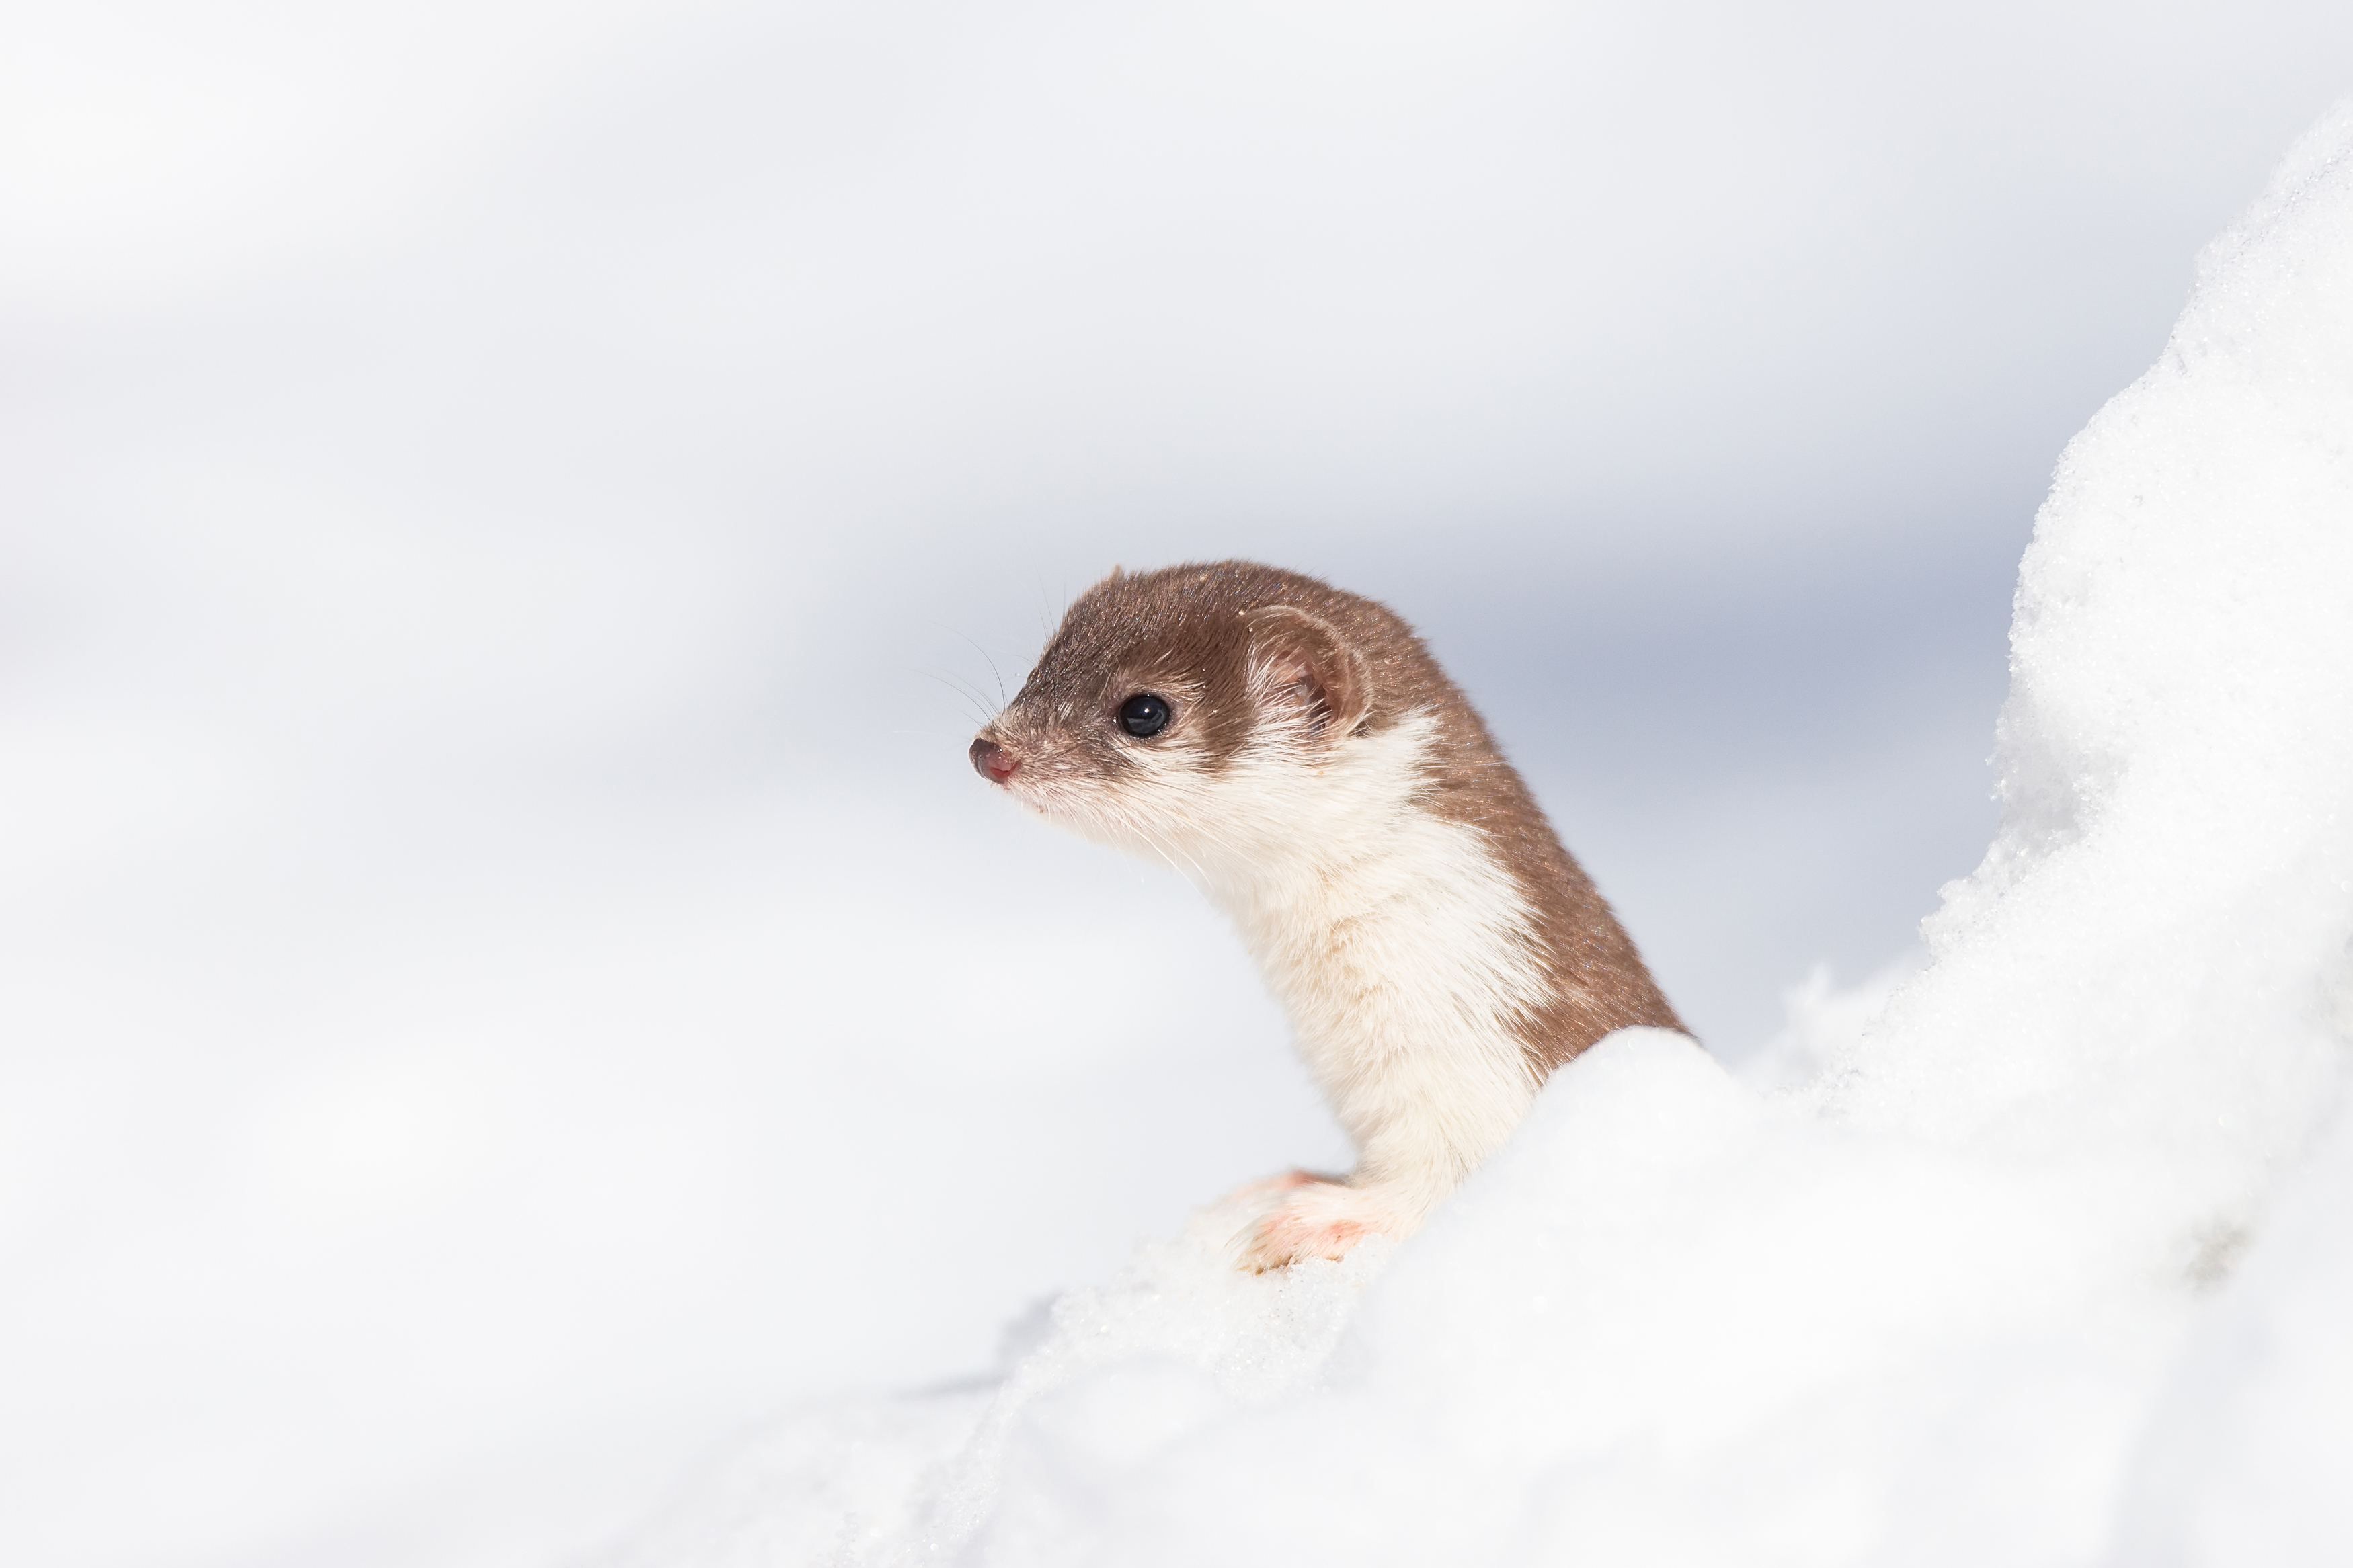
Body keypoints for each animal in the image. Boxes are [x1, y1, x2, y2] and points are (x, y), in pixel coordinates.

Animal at [965, 556, 1685, 1269]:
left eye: (1144, 709)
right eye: (1044, 662)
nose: (989, 750)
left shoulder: (1491, 1082)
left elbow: (1443, 1183)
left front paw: (1327, 1217)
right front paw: (1290, 1182)